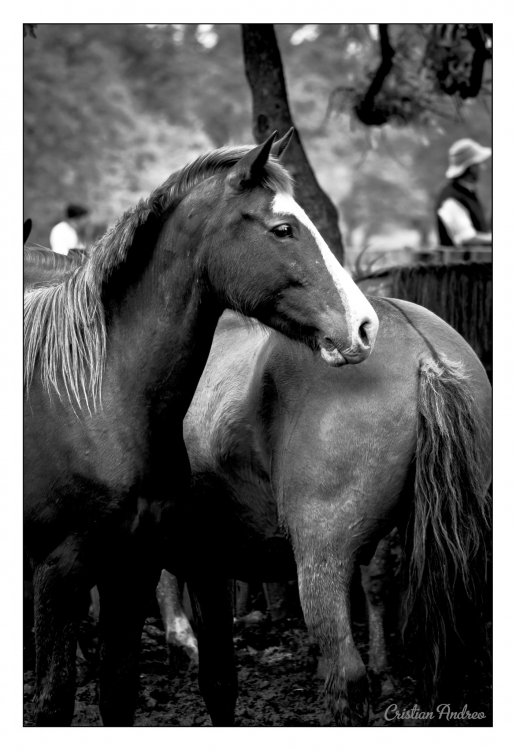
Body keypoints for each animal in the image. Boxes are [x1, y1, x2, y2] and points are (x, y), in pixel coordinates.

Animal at [23, 131, 378, 728]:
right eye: (283, 228)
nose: (364, 326)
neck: (94, 403)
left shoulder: (132, 565)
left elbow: (119, 691)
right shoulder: (57, 571)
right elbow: (53, 701)